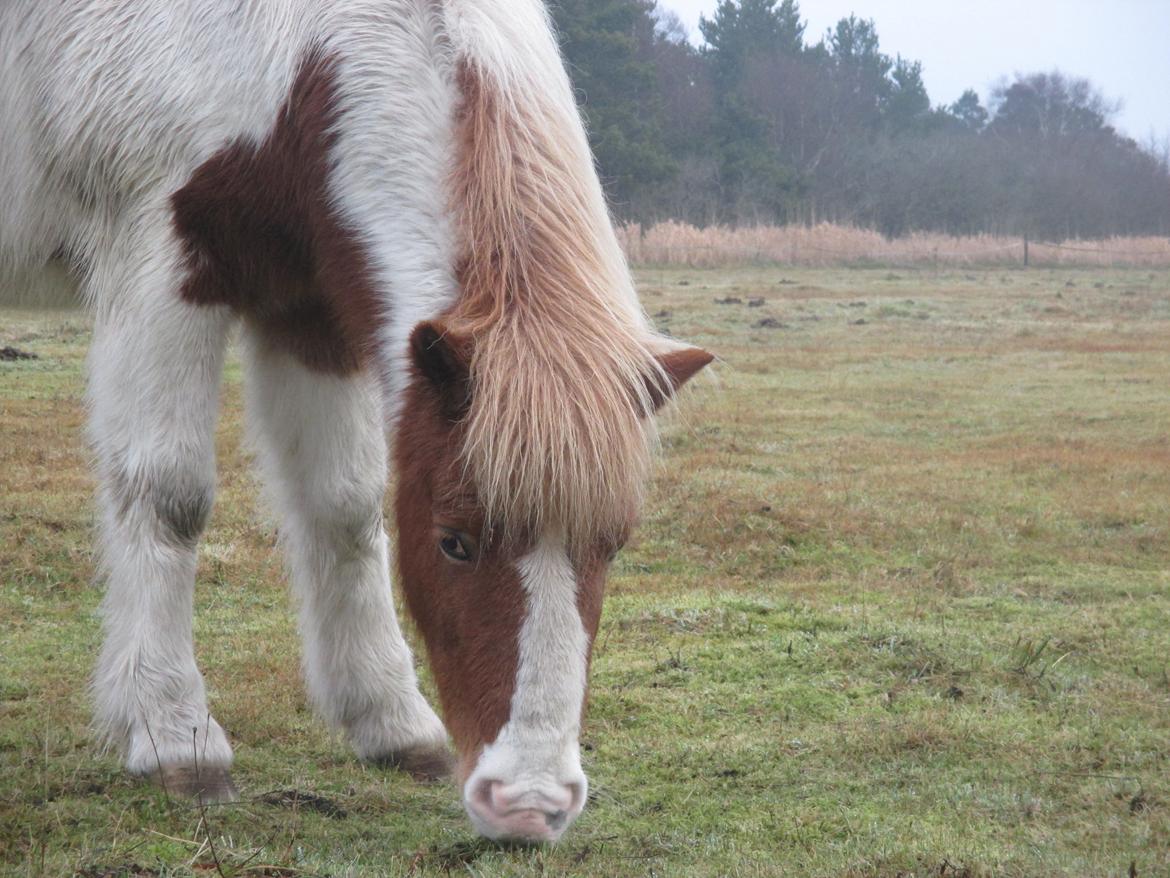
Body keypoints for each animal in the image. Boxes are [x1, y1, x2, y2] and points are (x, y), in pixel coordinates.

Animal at [0, 0, 711, 842]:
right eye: (454, 541)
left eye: (614, 544)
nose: (529, 804)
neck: (287, 67)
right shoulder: (162, 270)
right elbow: (170, 497)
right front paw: (175, 734)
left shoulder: (310, 309)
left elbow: (342, 506)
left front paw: (390, 721)